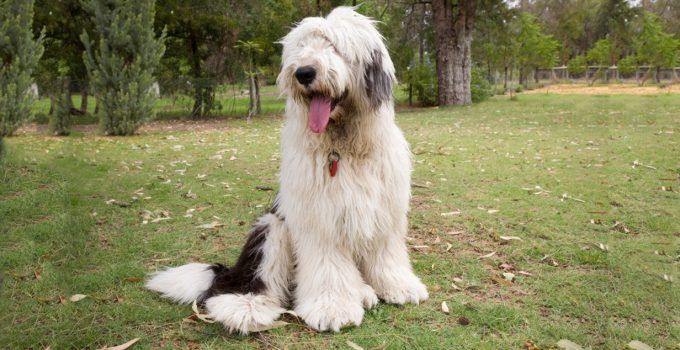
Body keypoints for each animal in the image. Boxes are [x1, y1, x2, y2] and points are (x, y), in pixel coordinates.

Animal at [146, 6, 428, 334]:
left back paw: (363, 291)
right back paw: (245, 307)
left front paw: (398, 286)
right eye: (302, 47)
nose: (303, 73)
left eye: (335, 46)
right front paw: (332, 308)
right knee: (249, 281)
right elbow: (328, 265)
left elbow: (386, 252)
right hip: (272, 229)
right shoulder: (318, 218)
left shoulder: (385, 210)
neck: (343, 147)